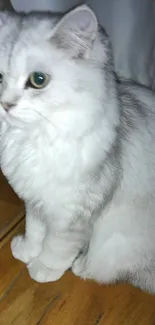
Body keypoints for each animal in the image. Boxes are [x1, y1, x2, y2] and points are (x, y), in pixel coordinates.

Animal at [0, 5, 155, 292]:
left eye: (38, 80)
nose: (5, 105)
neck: (31, 139)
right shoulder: (36, 199)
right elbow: (35, 231)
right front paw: (26, 251)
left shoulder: (72, 214)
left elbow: (56, 247)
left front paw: (42, 269)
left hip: (118, 241)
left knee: (111, 268)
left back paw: (81, 266)